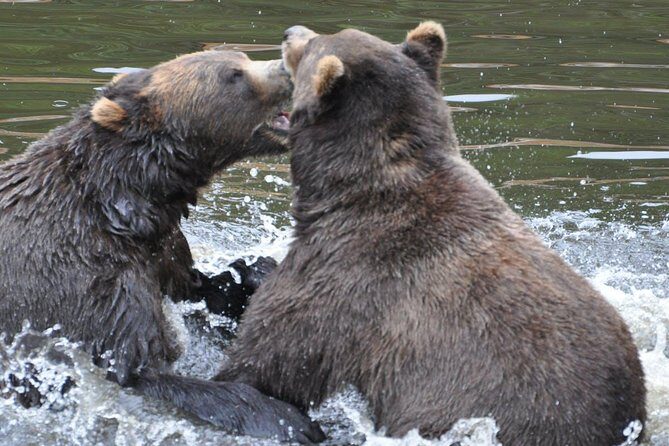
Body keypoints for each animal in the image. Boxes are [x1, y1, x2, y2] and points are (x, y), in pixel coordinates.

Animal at [0, 49, 323, 443]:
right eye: (234, 74)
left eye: (242, 56)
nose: (289, 68)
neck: (124, 208)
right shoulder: (83, 273)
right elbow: (138, 368)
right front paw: (286, 418)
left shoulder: (164, 249)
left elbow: (201, 292)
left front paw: (256, 272)